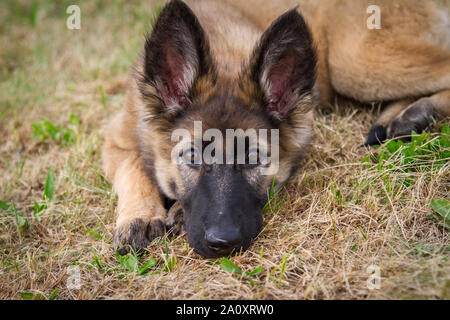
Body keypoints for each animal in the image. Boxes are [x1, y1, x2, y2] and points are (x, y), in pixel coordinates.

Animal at [103, 0, 450, 258]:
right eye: (191, 157)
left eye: (255, 158)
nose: (222, 243)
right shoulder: (116, 138)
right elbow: (133, 169)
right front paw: (139, 216)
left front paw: (172, 211)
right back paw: (401, 117)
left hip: (353, 62)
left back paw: (419, 111)